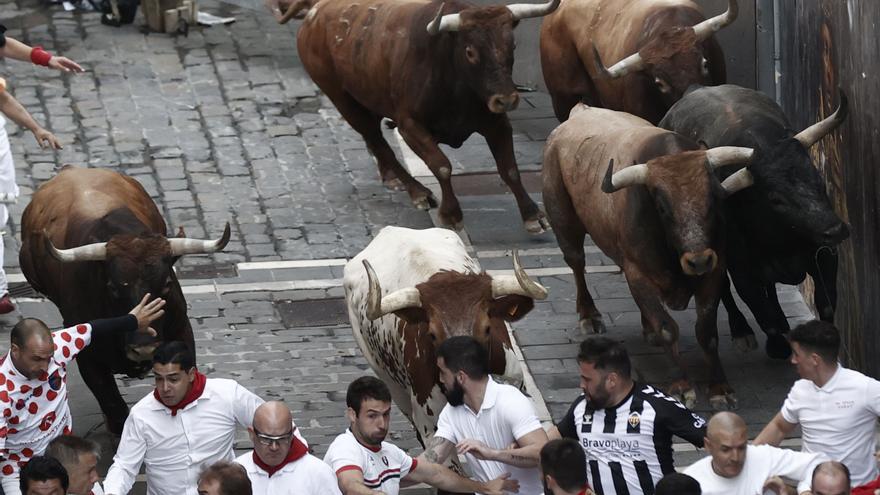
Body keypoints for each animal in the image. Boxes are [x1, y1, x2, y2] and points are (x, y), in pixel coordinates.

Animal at [19, 168, 230, 434]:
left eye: (167, 284)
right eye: (112, 287)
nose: (144, 348)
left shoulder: (181, 331)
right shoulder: (89, 360)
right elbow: (116, 410)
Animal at [292, 0, 560, 234]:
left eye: (511, 46)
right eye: (470, 51)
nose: (506, 99)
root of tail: (316, 12)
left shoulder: (497, 123)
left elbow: (510, 169)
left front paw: (533, 216)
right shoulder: (409, 126)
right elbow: (442, 166)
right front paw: (451, 214)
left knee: (374, 142)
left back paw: (391, 178)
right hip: (343, 100)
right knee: (378, 142)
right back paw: (417, 191)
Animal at [544, 105, 756, 410]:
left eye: (714, 199)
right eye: (663, 208)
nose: (699, 260)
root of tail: (580, 111)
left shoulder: (714, 273)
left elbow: (707, 331)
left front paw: (719, 387)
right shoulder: (638, 274)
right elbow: (668, 328)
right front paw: (682, 386)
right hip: (563, 218)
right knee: (576, 262)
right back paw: (589, 315)